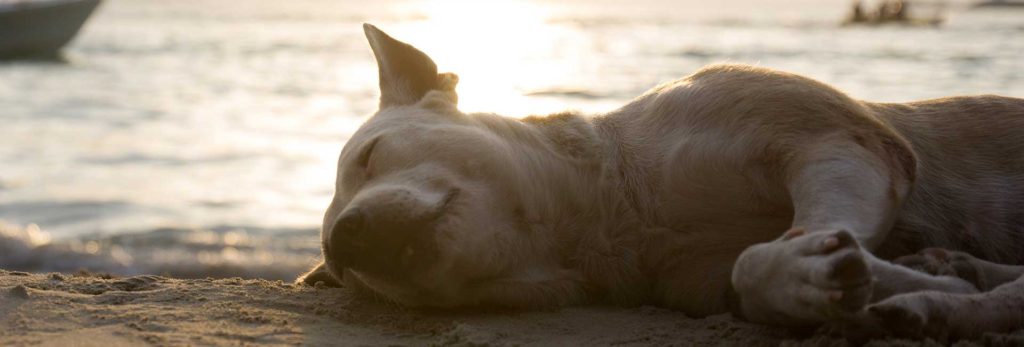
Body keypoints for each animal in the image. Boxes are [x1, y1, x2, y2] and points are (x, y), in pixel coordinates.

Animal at [299, 23, 1024, 337]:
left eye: (370, 157)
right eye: (342, 270)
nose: (348, 235)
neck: (619, 212)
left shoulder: (843, 142)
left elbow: (769, 251)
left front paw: (834, 270)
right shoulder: (697, 279)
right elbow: (753, 272)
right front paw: (868, 283)